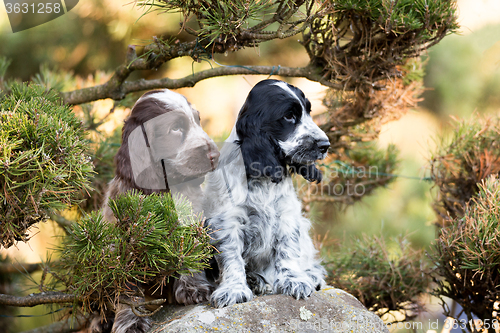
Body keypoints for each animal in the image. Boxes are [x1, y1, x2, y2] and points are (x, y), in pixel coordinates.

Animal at [98, 89, 220, 332]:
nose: (215, 155)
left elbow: (188, 253)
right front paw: (130, 321)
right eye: (175, 129)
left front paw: (194, 288)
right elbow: (127, 287)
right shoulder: (124, 246)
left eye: (197, 121)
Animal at [201, 79, 330, 308]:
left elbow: (288, 249)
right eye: (289, 116)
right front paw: (234, 290)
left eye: (308, 112)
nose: (325, 145)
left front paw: (294, 281)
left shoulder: (287, 214)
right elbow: (232, 257)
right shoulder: (227, 221)